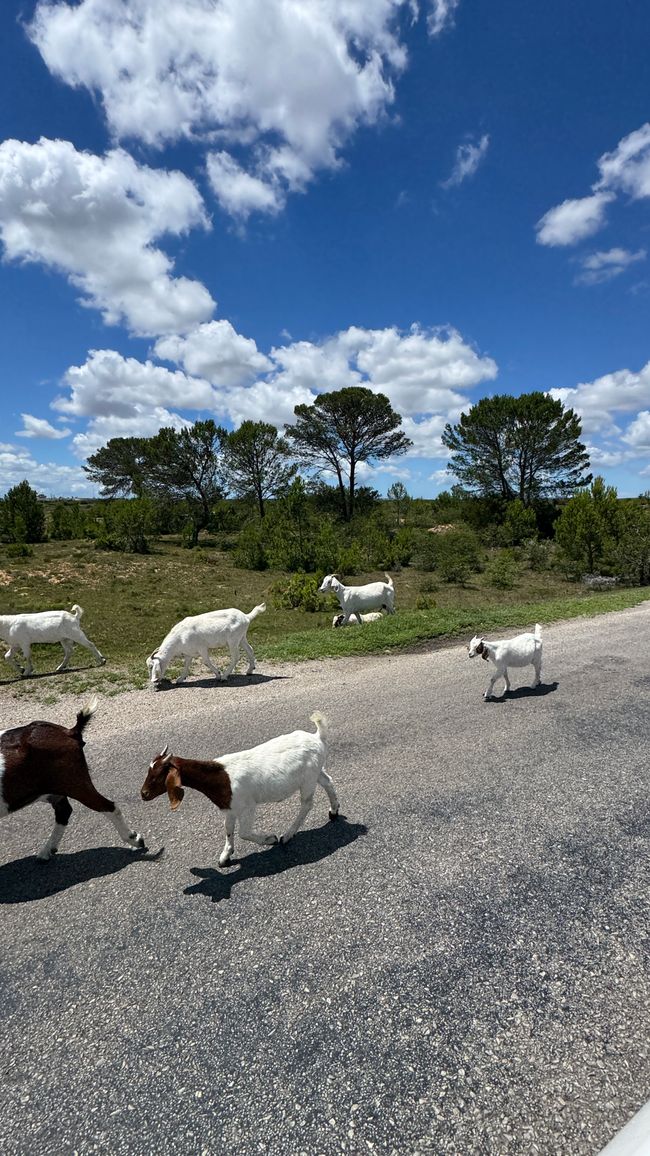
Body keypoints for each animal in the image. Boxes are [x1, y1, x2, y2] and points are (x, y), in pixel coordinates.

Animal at [0, 698, 145, 861]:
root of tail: (70, 732)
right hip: (51, 789)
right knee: (64, 812)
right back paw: (46, 851)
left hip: (75, 783)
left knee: (108, 806)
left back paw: (134, 839)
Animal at [141, 712, 339, 867]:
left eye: (157, 776)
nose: (143, 794)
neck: (220, 777)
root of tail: (317, 737)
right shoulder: (229, 808)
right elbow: (228, 829)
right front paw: (225, 856)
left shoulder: (248, 806)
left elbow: (243, 833)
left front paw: (269, 839)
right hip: (316, 772)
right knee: (328, 782)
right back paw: (334, 811)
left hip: (307, 780)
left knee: (306, 804)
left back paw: (287, 835)